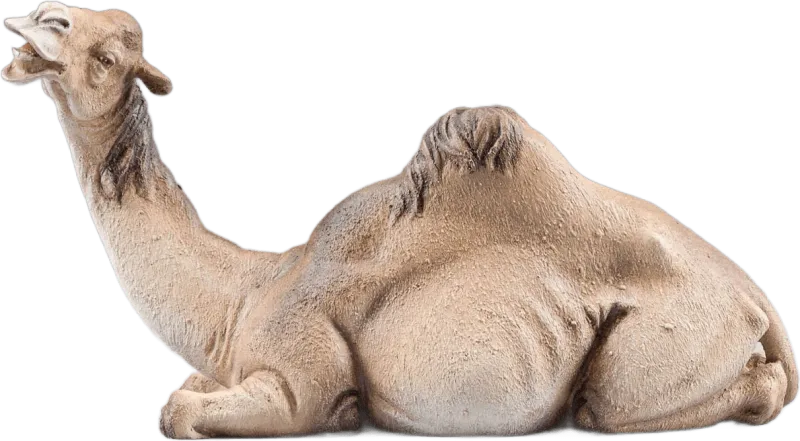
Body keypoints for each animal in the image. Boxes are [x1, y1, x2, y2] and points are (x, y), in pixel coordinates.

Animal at [3, 2, 798, 439]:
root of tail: (754, 295)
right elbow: (180, 395)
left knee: (663, 399)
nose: (42, 14)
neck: (245, 293)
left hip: (657, 345)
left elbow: (181, 413)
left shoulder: (301, 380)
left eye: (110, 55)